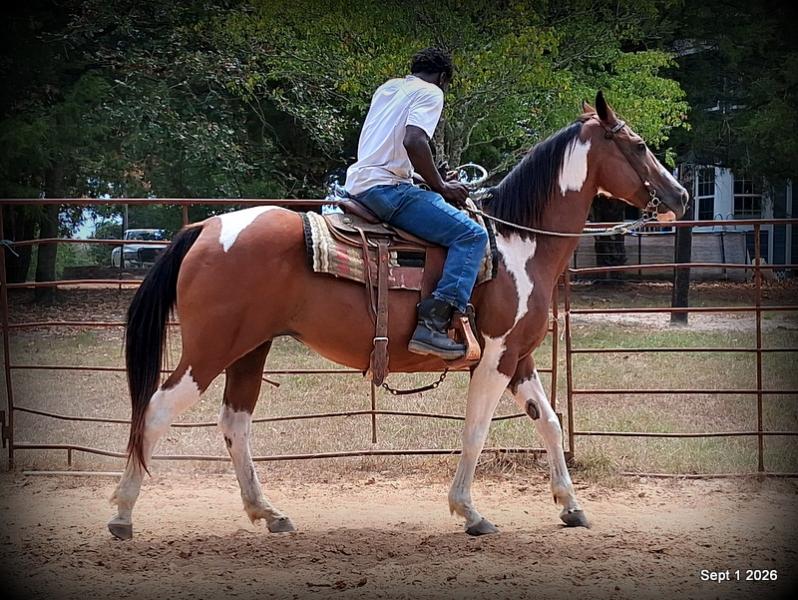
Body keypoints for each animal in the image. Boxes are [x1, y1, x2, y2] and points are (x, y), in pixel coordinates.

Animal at [108, 91, 688, 539]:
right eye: (638, 145)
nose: (679, 195)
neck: (517, 244)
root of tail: (204, 228)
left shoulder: (518, 357)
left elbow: (547, 420)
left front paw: (571, 506)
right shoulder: (496, 357)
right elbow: (477, 429)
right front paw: (470, 512)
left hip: (251, 347)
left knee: (235, 422)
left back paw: (269, 513)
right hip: (211, 349)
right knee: (155, 410)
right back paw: (122, 513)